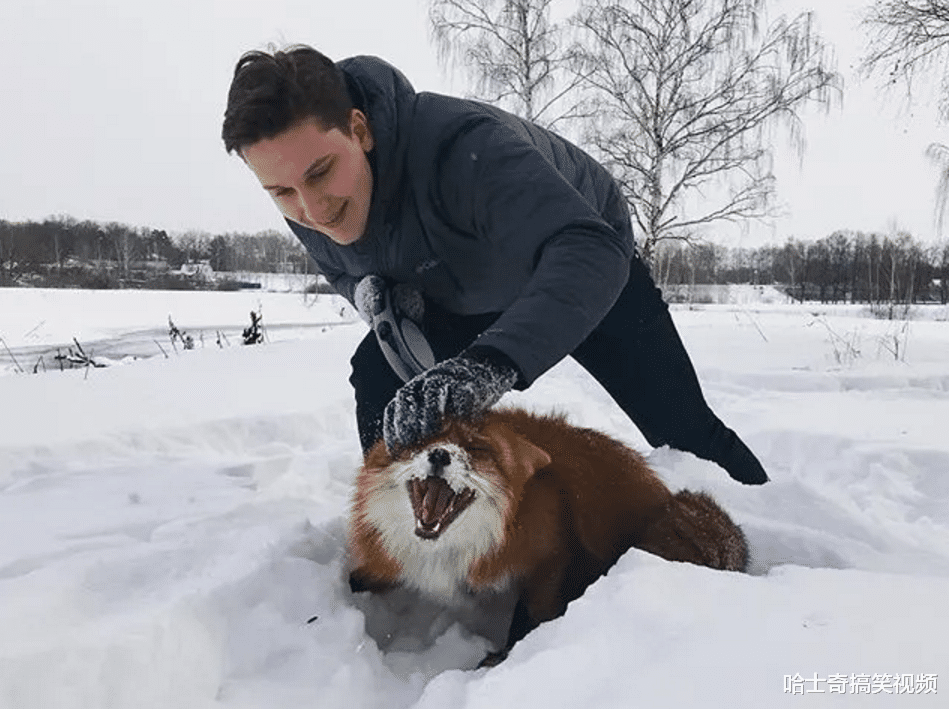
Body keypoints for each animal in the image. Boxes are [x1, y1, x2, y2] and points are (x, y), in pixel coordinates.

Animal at [348, 406, 748, 668]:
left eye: (475, 449)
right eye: (419, 442)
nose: (439, 454)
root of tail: (663, 496)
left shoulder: (551, 556)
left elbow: (528, 617)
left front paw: (504, 658)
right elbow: (362, 579)